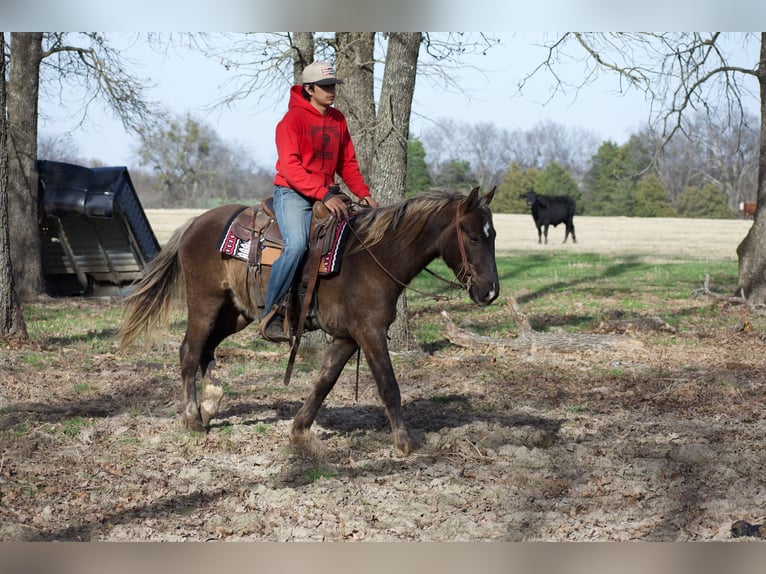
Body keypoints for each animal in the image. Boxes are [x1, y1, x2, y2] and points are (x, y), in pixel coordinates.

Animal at [119, 186, 499, 456]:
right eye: (473, 237)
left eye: (492, 235)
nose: (490, 292)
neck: (373, 257)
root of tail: (194, 224)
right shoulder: (370, 332)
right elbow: (388, 385)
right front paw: (406, 442)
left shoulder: (348, 337)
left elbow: (323, 382)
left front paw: (299, 429)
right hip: (205, 304)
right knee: (189, 351)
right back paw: (192, 419)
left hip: (235, 313)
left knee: (206, 349)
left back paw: (210, 403)